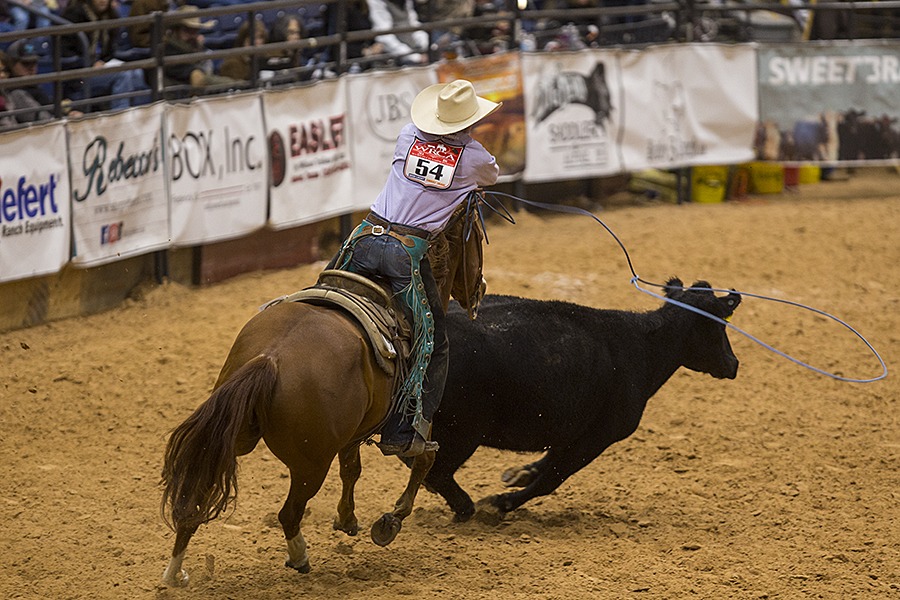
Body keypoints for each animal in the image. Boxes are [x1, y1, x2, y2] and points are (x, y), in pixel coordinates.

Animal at [423, 279, 741, 522]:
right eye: (719, 325)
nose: (733, 363)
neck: (642, 346)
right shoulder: (599, 437)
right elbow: (551, 479)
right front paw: (499, 503)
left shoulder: (574, 429)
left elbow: (547, 463)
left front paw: (519, 473)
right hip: (463, 433)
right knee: (436, 474)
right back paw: (467, 508)